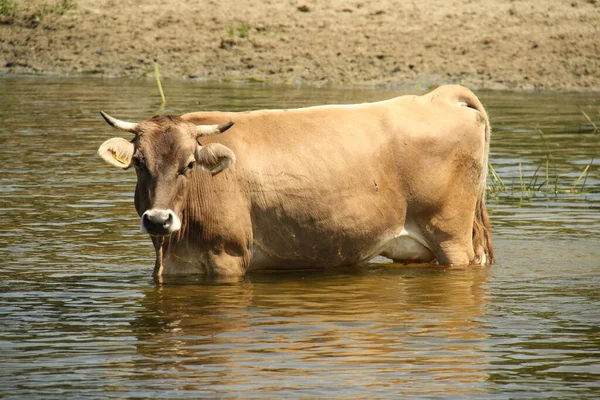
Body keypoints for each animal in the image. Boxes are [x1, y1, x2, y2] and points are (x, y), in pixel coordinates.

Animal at [97, 83, 492, 278]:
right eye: (139, 163)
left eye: (190, 164)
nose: (158, 220)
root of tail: (436, 97)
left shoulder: (227, 257)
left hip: (451, 236)